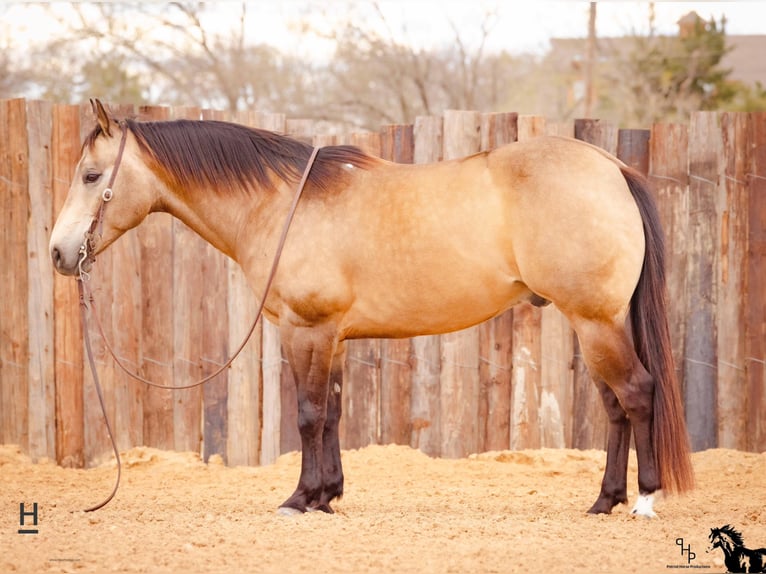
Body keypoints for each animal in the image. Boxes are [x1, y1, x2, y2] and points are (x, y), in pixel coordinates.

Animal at [48, 101, 696, 520]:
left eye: (92, 175)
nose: (58, 252)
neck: (282, 204)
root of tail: (612, 167)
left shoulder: (306, 330)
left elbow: (308, 415)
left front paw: (299, 499)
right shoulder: (333, 336)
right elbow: (333, 414)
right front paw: (328, 495)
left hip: (596, 321)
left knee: (638, 394)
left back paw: (643, 499)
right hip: (594, 323)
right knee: (615, 407)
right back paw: (604, 500)